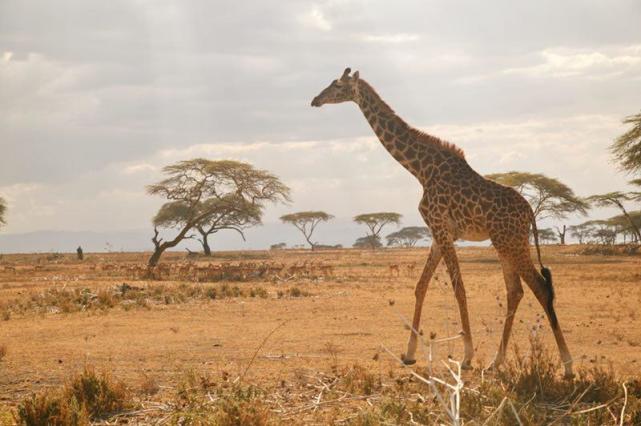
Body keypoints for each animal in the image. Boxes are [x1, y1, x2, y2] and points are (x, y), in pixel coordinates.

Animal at [312, 68, 576, 378]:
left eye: (337, 85)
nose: (315, 100)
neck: (421, 170)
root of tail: (530, 212)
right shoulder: (439, 232)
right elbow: (421, 286)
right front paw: (409, 354)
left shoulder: (440, 227)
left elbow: (458, 288)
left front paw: (467, 356)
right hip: (506, 242)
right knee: (516, 291)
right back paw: (496, 361)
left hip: (508, 241)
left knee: (539, 287)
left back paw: (567, 365)